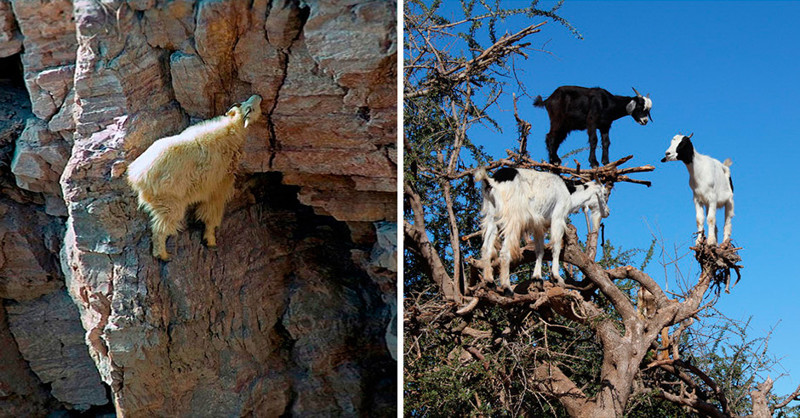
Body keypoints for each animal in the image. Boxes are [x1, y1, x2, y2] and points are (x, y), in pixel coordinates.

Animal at [126, 94, 262, 262]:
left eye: (245, 104)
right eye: (251, 109)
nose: (258, 96)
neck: (232, 130)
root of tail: (137, 176)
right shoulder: (219, 185)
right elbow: (211, 214)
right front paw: (210, 240)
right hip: (168, 200)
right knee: (162, 226)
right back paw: (163, 254)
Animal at [472, 165, 608, 292]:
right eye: (605, 194)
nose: (607, 212)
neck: (568, 193)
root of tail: (492, 181)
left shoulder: (539, 225)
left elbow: (540, 250)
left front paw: (537, 277)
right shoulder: (558, 218)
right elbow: (556, 247)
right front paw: (557, 276)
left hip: (492, 218)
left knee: (486, 247)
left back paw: (489, 281)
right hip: (513, 219)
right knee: (505, 251)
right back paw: (507, 288)